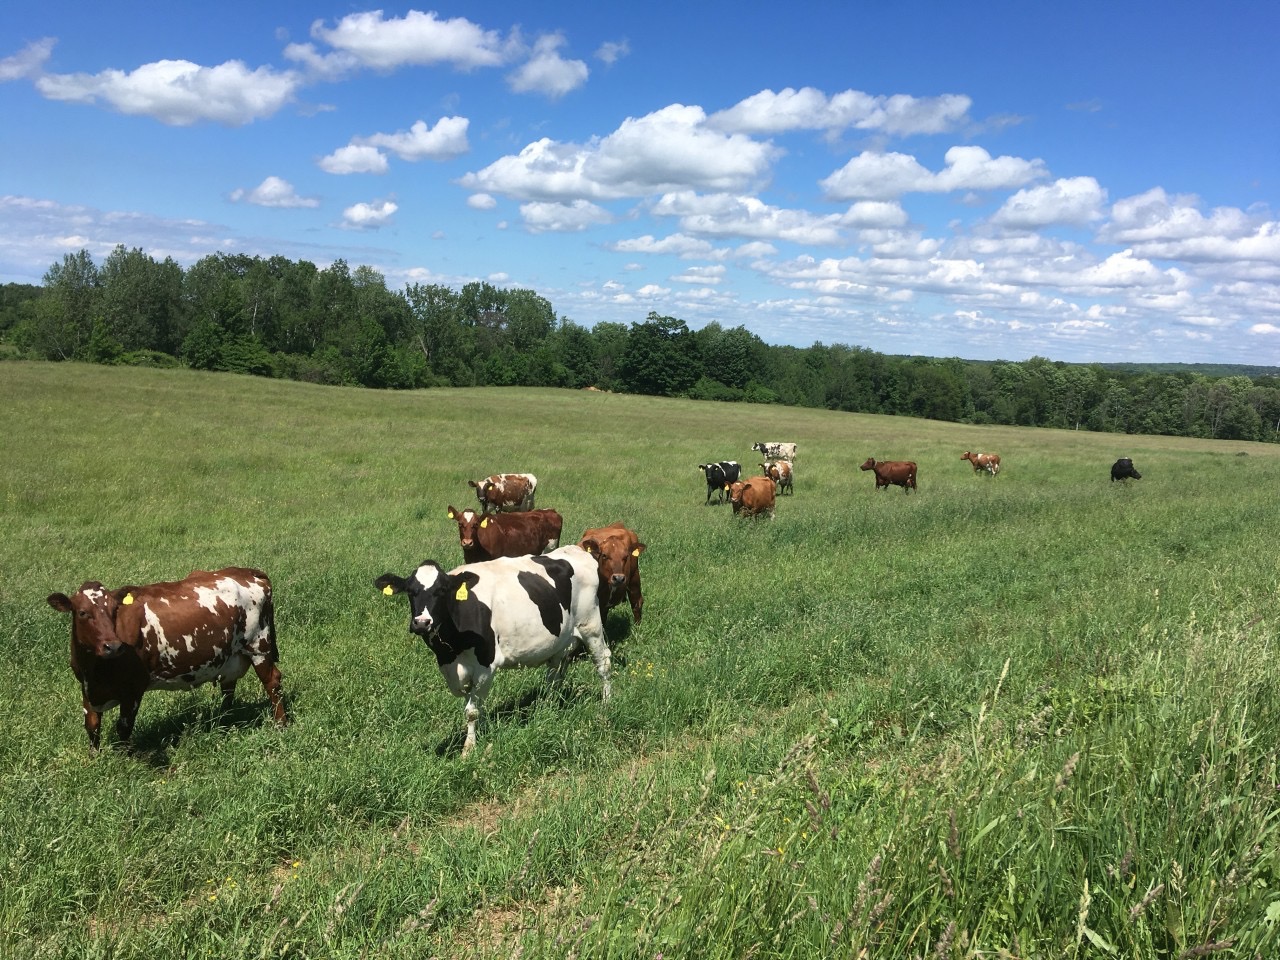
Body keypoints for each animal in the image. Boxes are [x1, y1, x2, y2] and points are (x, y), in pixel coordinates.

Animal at [45, 567, 285, 751]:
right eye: (82, 613)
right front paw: (94, 759)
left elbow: (123, 727)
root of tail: (246, 571)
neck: (95, 670)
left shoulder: (133, 689)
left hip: (259, 646)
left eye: (115, 611)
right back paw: (223, 722)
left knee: (272, 683)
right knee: (228, 688)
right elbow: (92, 726)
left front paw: (125, 759)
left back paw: (281, 724)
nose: (112, 646)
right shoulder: (86, 688)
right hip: (229, 657)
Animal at [375, 546, 611, 756]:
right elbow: (471, 703)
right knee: (554, 675)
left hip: (591, 625)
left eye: (441, 591)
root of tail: (577, 550)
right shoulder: (453, 670)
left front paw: (468, 750)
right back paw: (548, 708)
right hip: (559, 641)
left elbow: (472, 711)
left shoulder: (485, 666)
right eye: (410, 591)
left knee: (604, 663)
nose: (422, 623)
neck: (449, 652)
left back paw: (605, 704)